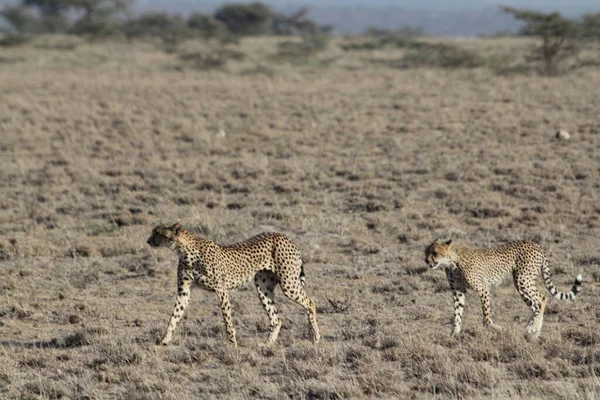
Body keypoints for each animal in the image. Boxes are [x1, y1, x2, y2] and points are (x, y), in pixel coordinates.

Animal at [146, 222, 322, 346]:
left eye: (158, 233)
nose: (148, 241)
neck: (184, 251)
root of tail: (282, 235)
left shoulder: (221, 290)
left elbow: (227, 321)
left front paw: (233, 345)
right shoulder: (184, 292)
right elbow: (174, 317)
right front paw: (164, 339)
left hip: (288, 284)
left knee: (310, 302)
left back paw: (315, 336)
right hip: (263, 287)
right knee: (276, 319)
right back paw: (267, 345)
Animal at [424, 239, 584, 340]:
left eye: (435, 253)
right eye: (426, 252)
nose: (426, 261)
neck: (451, 261)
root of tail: (535, 244)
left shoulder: (483, 288)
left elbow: (486, 315)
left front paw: (495, 328)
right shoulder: (458, 291)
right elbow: (457, 313)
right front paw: (454, 333)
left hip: (522, 280)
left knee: (541, 299)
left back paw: (533, 329)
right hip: (521, 283)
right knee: (536, 303)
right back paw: (531, 330)